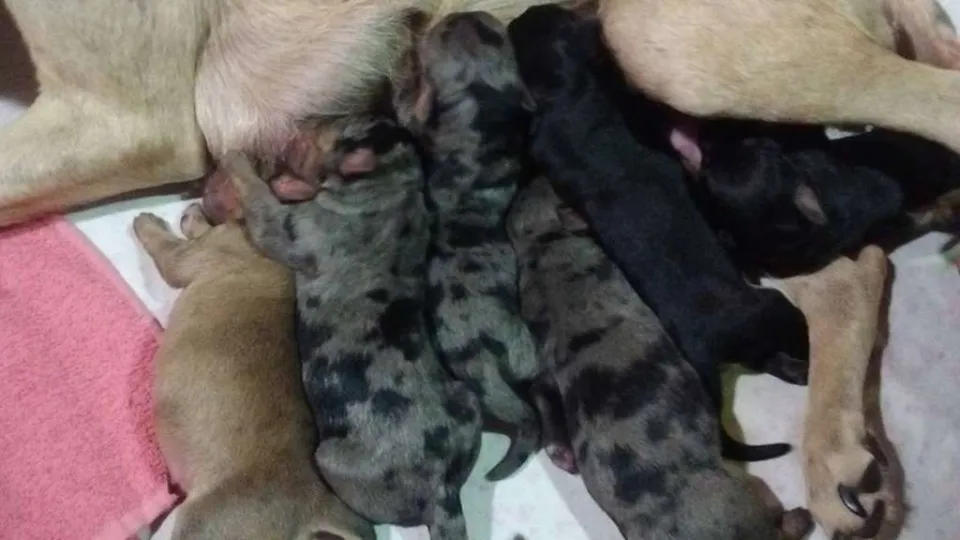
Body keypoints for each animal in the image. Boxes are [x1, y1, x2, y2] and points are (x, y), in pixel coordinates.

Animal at [131, 204, 373, 540]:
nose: (194, 205)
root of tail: (314, 510)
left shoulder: (188, 256)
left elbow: (164, 245)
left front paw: (150, 222)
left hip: (197, 524)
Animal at [223, 117, 484, 539]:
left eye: (334, 131)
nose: (299, 129)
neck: (396, 184)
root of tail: (441, 487)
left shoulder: (292, 229)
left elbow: (262, 204)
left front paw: (237, 160)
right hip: (469, 403)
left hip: (330, 459)